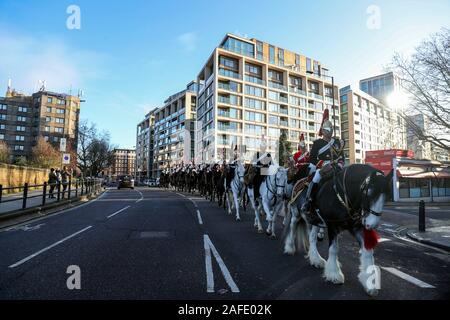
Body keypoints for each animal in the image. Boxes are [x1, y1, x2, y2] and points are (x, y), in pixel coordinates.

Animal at [284, 165, 386, 298]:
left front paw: (370, 283)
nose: (371, 224)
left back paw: (316, 259)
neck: (343, 196)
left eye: (385, 195)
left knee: (312, 238)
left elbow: (368, 252)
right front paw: (334, 274)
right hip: (296, 213)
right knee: (292, 227)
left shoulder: (357, 228)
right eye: (368, 193)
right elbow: (333, 249)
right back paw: (290, 248)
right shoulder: (332, 226)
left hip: (315, 221)